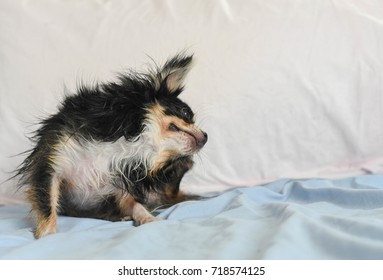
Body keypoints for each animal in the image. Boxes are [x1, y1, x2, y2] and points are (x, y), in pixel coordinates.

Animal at [15, 53, 207, 237]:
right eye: (186, 113)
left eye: (172, 160)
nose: (206, 137)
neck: (134, 143)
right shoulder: (52, 165)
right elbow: (47, 205)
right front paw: (47, 234)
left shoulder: (120, 191)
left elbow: (137, 206)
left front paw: (148, 218)